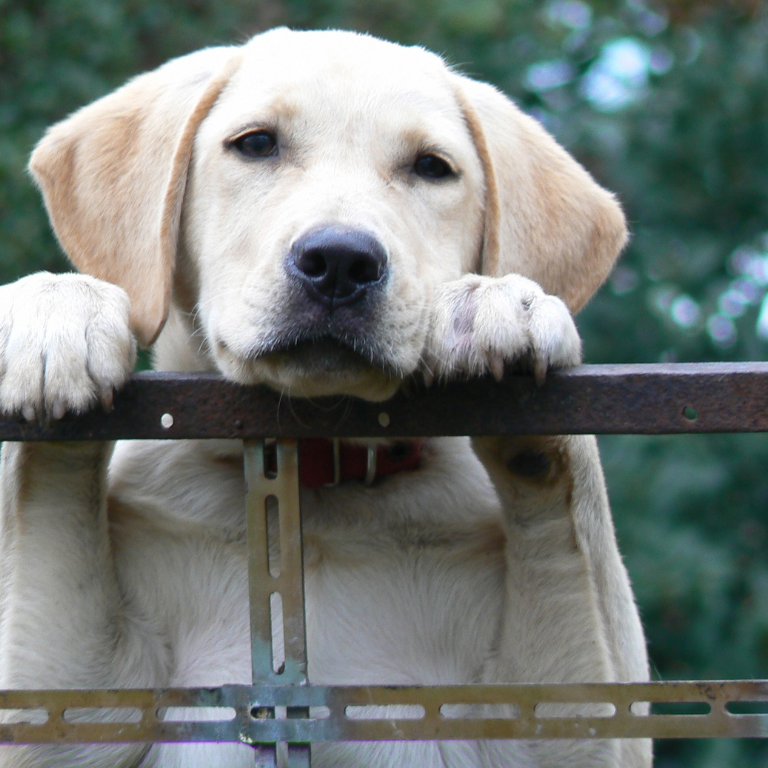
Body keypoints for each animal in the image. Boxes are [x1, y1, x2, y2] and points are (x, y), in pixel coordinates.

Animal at [0, 25, 648, 768]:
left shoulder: (566, 721)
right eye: (256, 144)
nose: (340, 261)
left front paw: (501, 304)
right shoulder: (81, 704)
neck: (318, 478)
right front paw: (55, 311)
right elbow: (52, 506)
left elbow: (568, 516)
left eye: (432, 168)